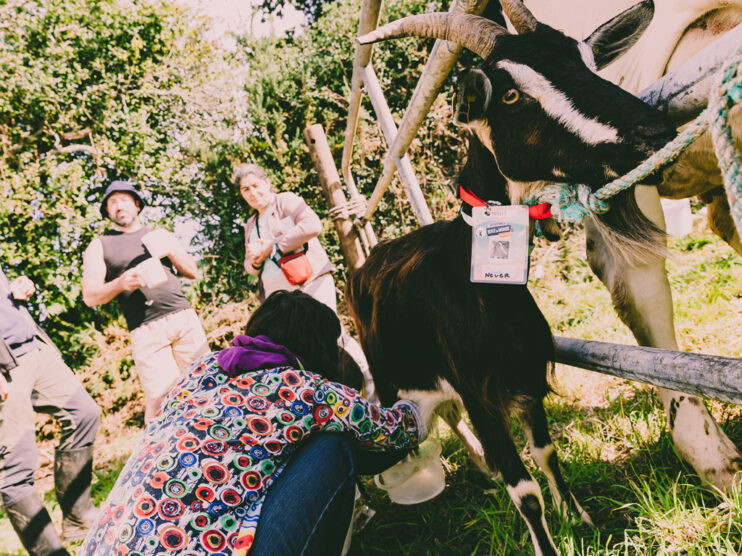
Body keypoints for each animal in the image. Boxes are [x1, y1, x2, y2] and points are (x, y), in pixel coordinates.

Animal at [348, 2, 680, 552]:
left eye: (589, 61)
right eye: (510, 94)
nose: (654, 135)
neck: (482, 289)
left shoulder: (526, 378)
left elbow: (546, 453)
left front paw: (581, 519)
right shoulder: (480, 393)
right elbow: (523, 489)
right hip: (395, 379)